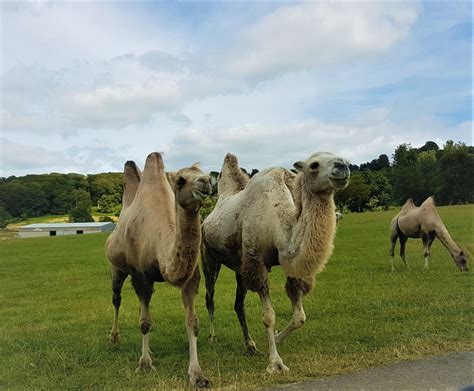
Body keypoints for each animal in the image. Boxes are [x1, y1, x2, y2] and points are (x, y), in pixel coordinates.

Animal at [107, 152, 213, 388]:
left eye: (205, 174)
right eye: (181, 180)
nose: (206, 182)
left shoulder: (191, 277)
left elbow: (192, 323)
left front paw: (197, 375)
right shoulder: (140, 276)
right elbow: (145, 322)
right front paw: (145, 363)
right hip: (116, 268)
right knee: (117, 298)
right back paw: (114, 337)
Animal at [202, 151, 350, 374]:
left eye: (344, 159)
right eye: (314, 165)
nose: (343, 167)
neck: (278, 223)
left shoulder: (289, 265)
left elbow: (300, 317)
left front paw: (279, 338)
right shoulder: (257, 262)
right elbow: (268, 317)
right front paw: (275, 364)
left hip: (239, 268)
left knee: (238, 305)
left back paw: (250, 346)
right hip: (209, 258)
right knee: (210, 298)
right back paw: (212, 337)